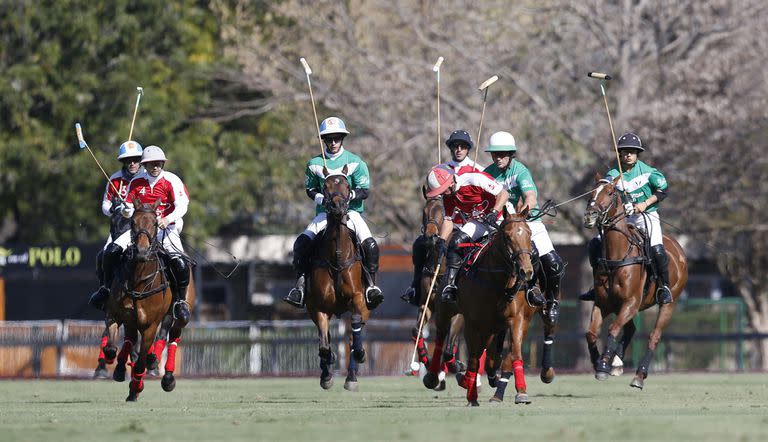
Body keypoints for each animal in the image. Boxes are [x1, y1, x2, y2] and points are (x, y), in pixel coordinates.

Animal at [103, 200, 171, 400]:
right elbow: (112, 347)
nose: (141, 251)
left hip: (169, 316)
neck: (138, 281)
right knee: (131, 341)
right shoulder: (114, 315)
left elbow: (141, 361)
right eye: (133, 222)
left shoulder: (150, 326)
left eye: (155, 224)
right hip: (131, 322)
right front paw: (112, 361)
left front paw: (135, 388)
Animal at [306, 165, 368, 390]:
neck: (337, 257)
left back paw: (352, 376)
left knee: (354, 336)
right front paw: (327, 373)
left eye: (347, 186)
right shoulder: (318, 307)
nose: (338, 206)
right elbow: (324, 345)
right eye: (325, 186)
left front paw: (359, 354)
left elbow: (355, 331)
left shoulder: (358, 298)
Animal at [584, 174, 688, 388]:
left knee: (654, 335)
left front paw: (603, 365)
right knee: (631, 329)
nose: (590, 215)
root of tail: (678, 247)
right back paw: (617, 363)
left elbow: (614, 328)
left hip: (668, 303)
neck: (617, 255)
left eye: (610, 192)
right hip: (622, 306)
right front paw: (599, 362)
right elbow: (591, 333)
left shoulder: (631, 302)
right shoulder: (603, 303)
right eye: (592, 192)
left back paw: (639, 376)